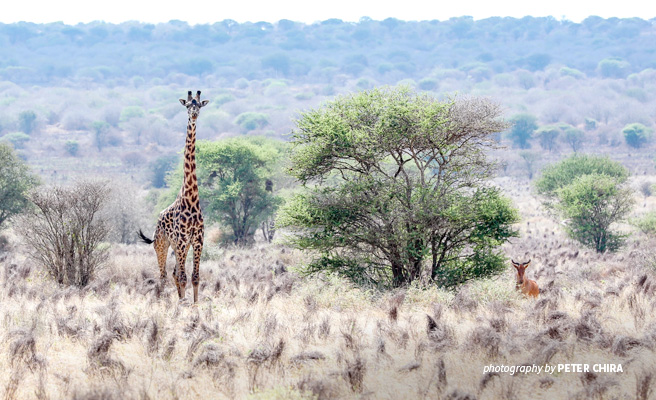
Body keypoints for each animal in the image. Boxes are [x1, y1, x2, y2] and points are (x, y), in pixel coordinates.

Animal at [139, 90, 209, 304]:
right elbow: (184, 277)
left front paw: (194, 305)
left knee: (174, 274)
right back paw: (163, 301)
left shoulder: (197, 239)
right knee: (163, 276)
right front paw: (184, 305)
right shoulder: (181, 239)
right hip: (162, 245)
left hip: (179, 246)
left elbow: (194, 277)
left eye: (199, 105)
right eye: (187, 105)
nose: (194, 115)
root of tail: (158, 219)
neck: (191, 197)